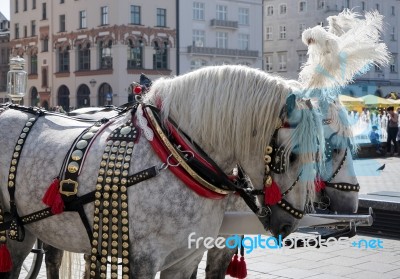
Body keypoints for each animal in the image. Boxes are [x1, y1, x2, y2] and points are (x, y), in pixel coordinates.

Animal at [0, 64, 322, 278]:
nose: (290, 224)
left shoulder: (186, 259)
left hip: (24, 229)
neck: (176, 154)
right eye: (291, 155)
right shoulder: (143, 259)